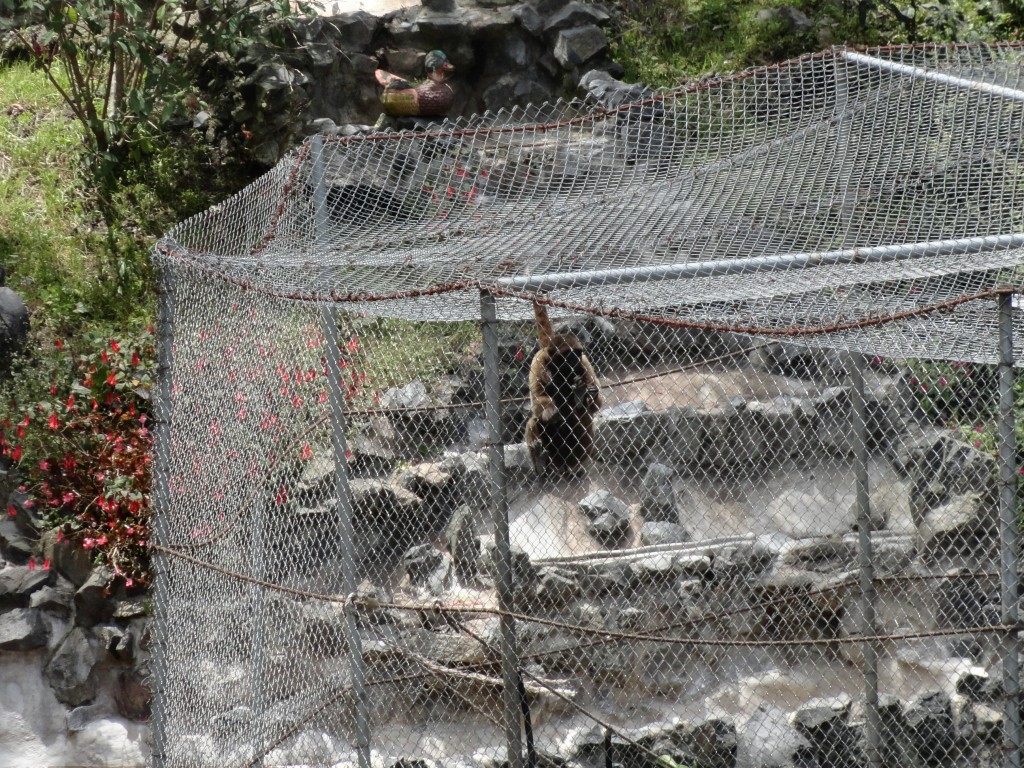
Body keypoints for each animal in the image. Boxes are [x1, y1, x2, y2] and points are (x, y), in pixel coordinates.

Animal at [524, 301, 602, 479]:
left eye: (577, 354)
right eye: (568, 355)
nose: (574, 360)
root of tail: (563, 464)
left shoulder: (584, 362)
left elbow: (596, 404)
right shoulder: (538, 360)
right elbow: (538, 400)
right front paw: (552, 412)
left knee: (583, 415)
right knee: (535, 419)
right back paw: (540, 459)